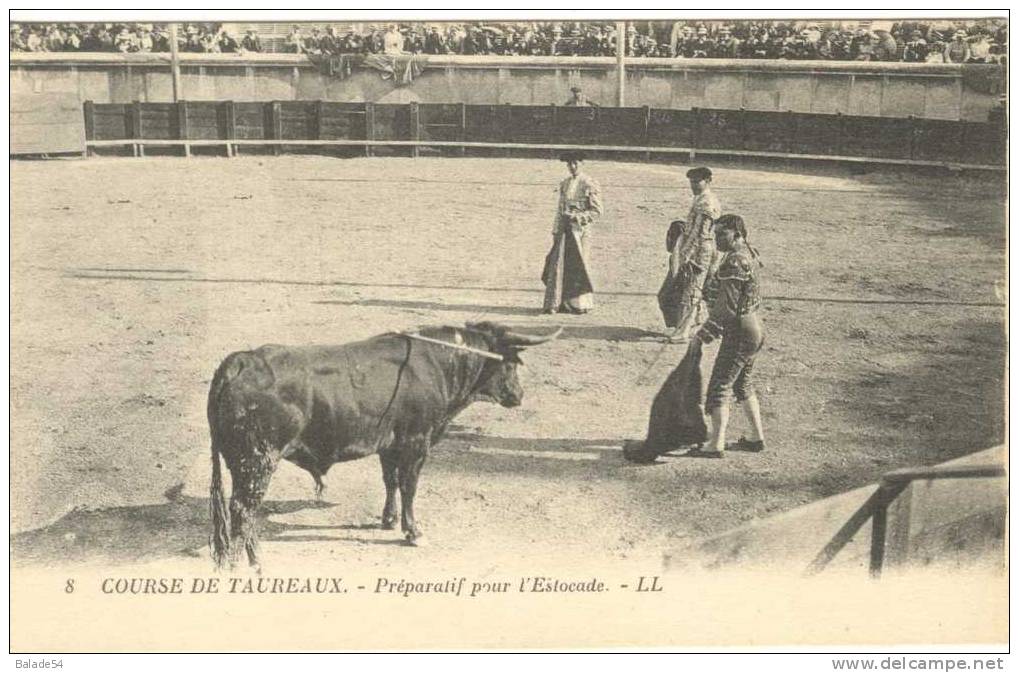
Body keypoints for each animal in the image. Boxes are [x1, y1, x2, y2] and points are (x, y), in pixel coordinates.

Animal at [205, 320, 558, 566]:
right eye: (510, 363)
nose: (518, 395)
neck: (437, 365)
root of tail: (240, 362)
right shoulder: (417, 442)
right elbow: (409, 486)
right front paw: (413, 532)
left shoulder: (389, 444)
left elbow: (390, 481)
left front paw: (388, 520)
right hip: (258, 460)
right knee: (243, 508)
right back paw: (252, 560)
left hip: (238, 462)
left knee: (238, 508)